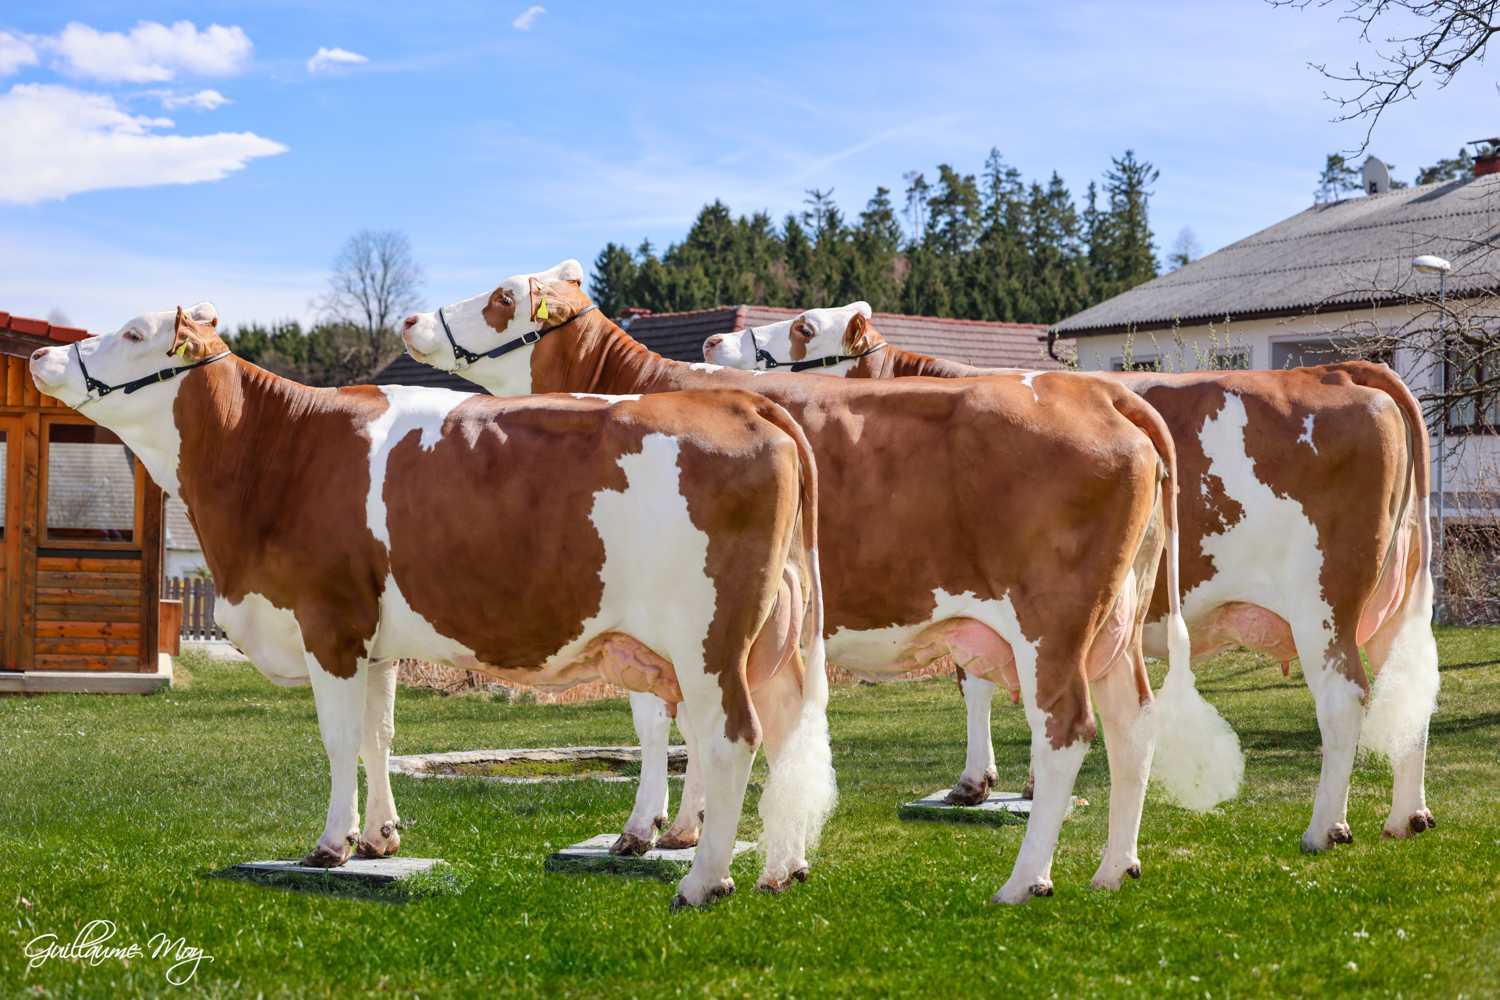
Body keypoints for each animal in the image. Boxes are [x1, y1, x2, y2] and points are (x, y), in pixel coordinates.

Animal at [26, 302, 846, 905]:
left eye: (134, 334)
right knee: (786, 732)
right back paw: (782, 869)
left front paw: (330, 846)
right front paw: (379, 839)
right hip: (772, 641)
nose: (40, 358)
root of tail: (743, 405)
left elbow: (337, 741)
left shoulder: (328, 622)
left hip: (711, 641)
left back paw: (704, 881)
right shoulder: (373, 641)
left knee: (732, 738)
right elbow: (377, 737)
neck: (276, 452)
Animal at [399, 262, 1242, 905]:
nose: (409, 318)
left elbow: (663, 722)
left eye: (498, 295)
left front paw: (659, 834)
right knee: (1132, 723)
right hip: (1113, 620)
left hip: (1054, 617)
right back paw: (1112, 868)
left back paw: (1024, 880)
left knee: (1069, 727)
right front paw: (728, 842)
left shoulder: (668, 607)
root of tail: (1103, 392)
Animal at [708, 305, 1446, 851]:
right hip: (1388, 594)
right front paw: (999, 782)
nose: (713, 339)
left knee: (1345, 699)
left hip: (1325, 599)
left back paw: (1326, 828)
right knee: (1407, 689)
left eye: (804, 327)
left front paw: (987, 782)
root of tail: (1339, 369)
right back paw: (1406, 816)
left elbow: (978, 679)